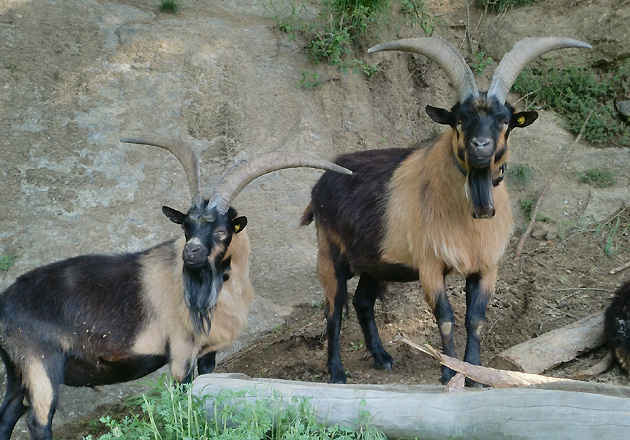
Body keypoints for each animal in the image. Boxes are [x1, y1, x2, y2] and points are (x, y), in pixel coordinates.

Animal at [0, 139, 354, 438]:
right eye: (186, 226)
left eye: (222, 229)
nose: (191, 253)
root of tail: (4, 303)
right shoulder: (181, 348)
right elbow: (182, 400)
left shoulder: (208, 351)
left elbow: (206, 390)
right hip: (39, 363)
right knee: (38, 420)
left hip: (18, 370)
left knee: (7, 417)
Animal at [304, 36, 596, 384]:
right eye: (460, 119)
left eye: (504, 120)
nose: (480, 146)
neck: (469, 218)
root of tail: (321, 182)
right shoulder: (430, 266)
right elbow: (445, 318)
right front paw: (448, 373)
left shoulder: (485, 267)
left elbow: (476, 319)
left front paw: (474, 374)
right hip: (329, 252)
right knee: (334, 310)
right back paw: (337, 373)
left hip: (376, 260)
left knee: (362, 302)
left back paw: (382, 357)